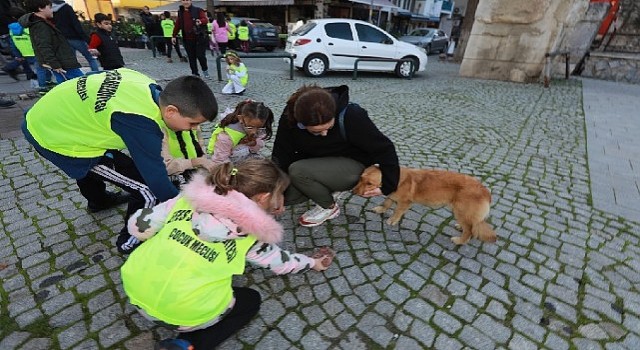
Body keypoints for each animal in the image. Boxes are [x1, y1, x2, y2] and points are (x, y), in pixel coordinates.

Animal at [352, 165, 498, 245]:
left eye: (369, 183)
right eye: (360, 178)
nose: (353, 191)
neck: (397, 179)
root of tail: (486, 192)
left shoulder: (405, 202)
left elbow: (397, 211)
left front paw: (392, 220)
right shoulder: (392, 196)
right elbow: (387, 202)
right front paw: (381, 209)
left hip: (460, 211)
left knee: (469, 231)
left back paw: (459, 241)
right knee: (471, 226)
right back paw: (460, 227)